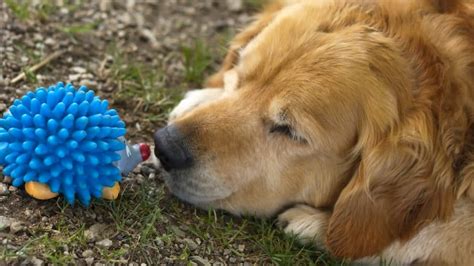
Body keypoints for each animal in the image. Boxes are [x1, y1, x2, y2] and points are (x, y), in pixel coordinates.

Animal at [154, 0, 472, 264]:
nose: (165, 147)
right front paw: (203, 96)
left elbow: (445, 229)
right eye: (241, 76)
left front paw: (319, 225)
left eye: (289, 131)